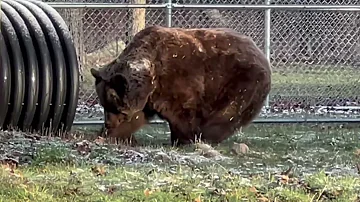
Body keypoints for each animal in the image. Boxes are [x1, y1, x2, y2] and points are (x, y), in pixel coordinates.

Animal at [90, 25, 270, 147]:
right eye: (105, 104)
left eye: (113, 106)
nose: (108, 123)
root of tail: (259, 51)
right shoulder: (147, 98)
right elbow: (136, 118)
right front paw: (114, 136)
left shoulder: (179, 82)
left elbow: (182, 113)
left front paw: (183, 139)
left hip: (241, 80)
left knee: (228, 111)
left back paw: (208, 135)